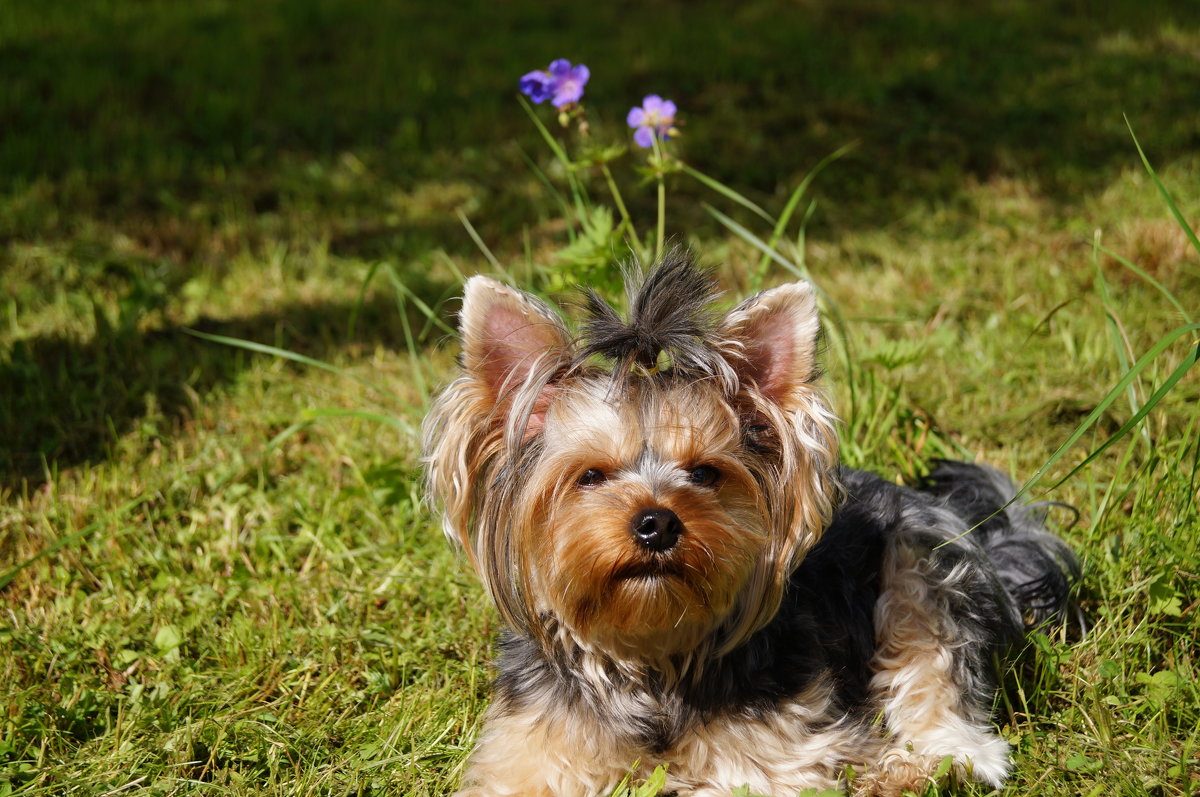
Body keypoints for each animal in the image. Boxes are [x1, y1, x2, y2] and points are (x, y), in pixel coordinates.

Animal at [424, 252, 1080, 792]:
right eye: (590, 476)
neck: (652, 658)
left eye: (706, 472)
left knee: (946, 692)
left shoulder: (784, 751)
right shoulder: (530, 751)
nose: (656, 523)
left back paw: (918, 770)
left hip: (922, 560)